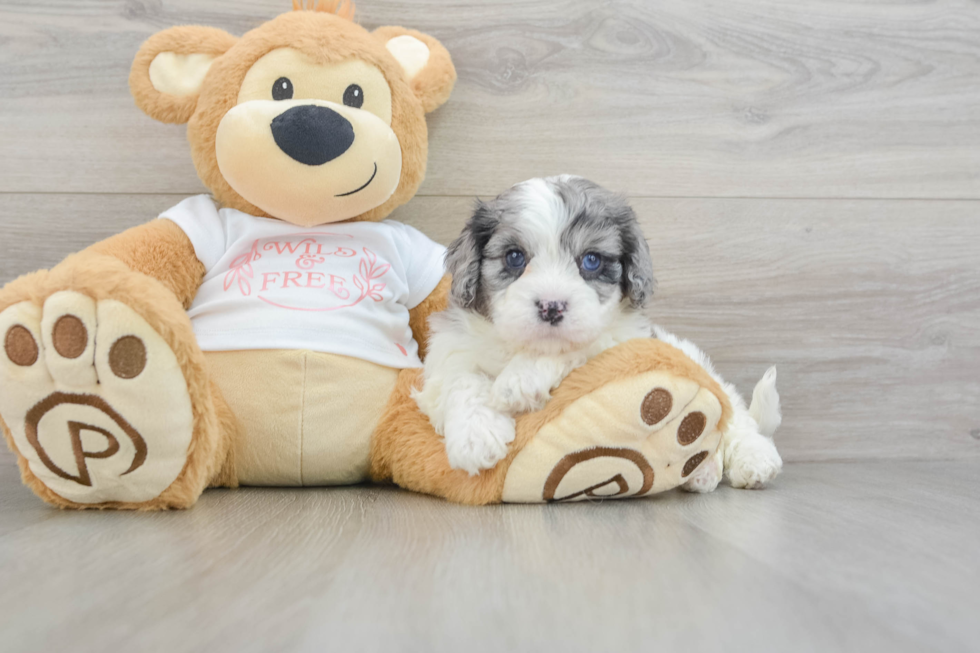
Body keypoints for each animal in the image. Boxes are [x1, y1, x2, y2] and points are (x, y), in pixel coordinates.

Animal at [414, 176, 780, 492]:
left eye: (591, 260)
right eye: (515, 257)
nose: (551, 307)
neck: (522, 346)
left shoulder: (621, 340)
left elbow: (576, 347)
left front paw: (520, 380)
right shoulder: (450, 350)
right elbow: (460, 380)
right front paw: (475, 436)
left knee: (738, 423)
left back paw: (753, 460)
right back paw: (703, 473)